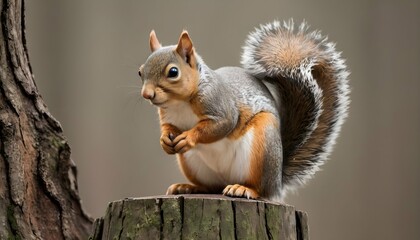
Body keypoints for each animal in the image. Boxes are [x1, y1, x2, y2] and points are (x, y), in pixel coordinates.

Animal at [139, 20, 352, 201]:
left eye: (173, 72)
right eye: (140, 72)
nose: (146, 94)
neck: (180, 102)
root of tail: (278, 182)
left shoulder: (220, 106)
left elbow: (221, 125)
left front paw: (188, 137)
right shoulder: (168, 117)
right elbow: (168, 127)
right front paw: (165, 140)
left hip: (263, 145)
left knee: (261, 190)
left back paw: (244, 189)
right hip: (194, 165)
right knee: (211, 187)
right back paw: (187, 187)